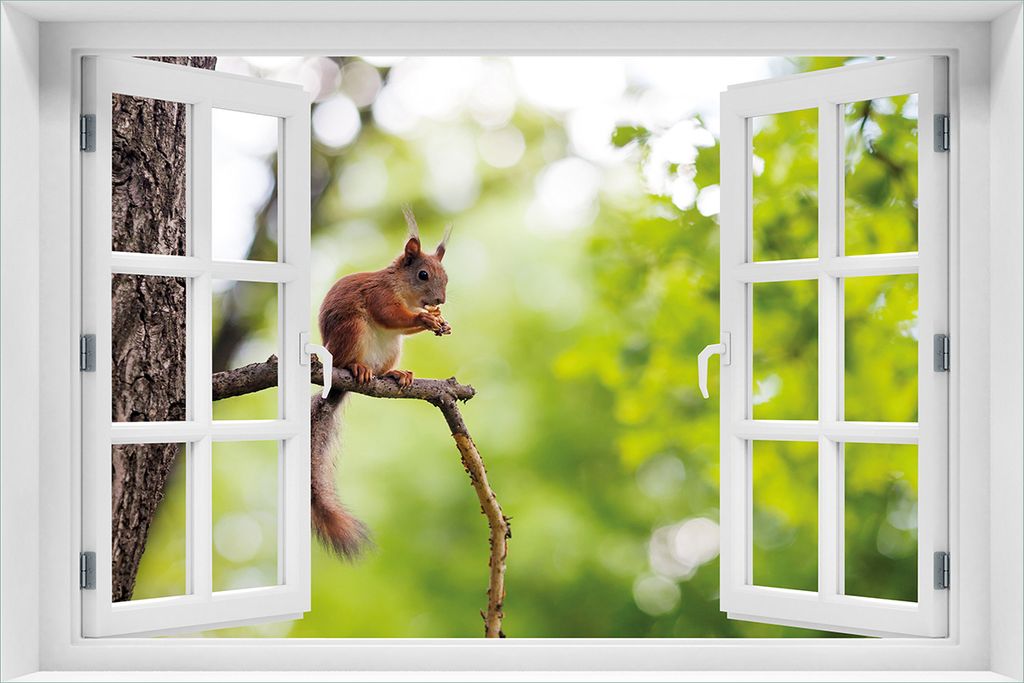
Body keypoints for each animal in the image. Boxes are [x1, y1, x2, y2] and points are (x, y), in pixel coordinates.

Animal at [310, 207, 452, 559]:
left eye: (445, 275)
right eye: (423, 275)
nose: (440, 299)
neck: (401, 287)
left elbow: (403, 324)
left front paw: (439, 320)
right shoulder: (378, 295)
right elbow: (390, 314)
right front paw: (425, 318)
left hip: (392, 349)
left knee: (383, 368)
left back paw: (395, 374)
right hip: (352, 330)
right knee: (350, 358)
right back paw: (357, 367)